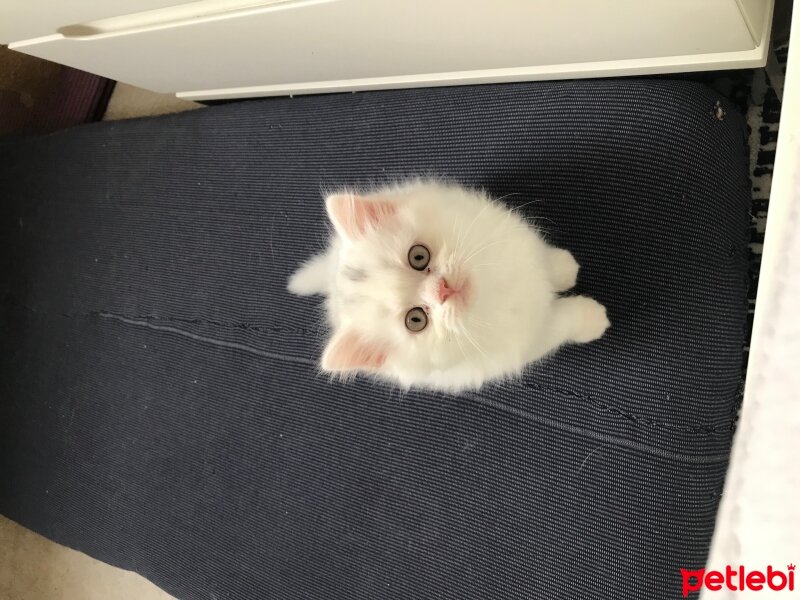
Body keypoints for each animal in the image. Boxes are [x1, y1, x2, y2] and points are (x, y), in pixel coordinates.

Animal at [288, 180, 608, 392]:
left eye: (418, 256)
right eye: (416, 320)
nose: (442, 290)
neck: (491, 290)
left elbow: (542, 259)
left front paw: (565, 268)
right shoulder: (529, 339)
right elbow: (562, 321)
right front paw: (592, 318)